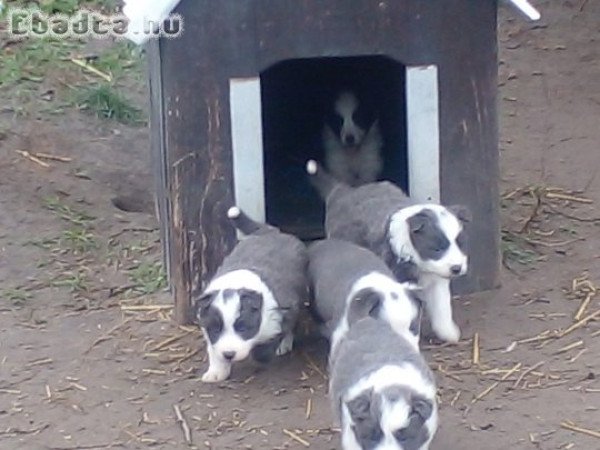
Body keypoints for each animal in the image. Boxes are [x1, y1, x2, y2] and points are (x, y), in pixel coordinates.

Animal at [193, 206, 310, 382]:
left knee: (292, 326)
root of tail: (269, 232)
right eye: (216, 330)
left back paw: (284, 345)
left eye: (242, 328)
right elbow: (214, 351)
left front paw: (264, 353)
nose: (229, 354)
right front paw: (216, 373)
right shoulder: (208, 328)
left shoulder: (282, 312)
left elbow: (269, 341)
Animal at [308, 160, 472, 342]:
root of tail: (342, 191)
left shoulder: (437, 280)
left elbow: (442, 310)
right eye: (436, 248)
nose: (457, 268)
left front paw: (449, 333)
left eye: (461, 244)